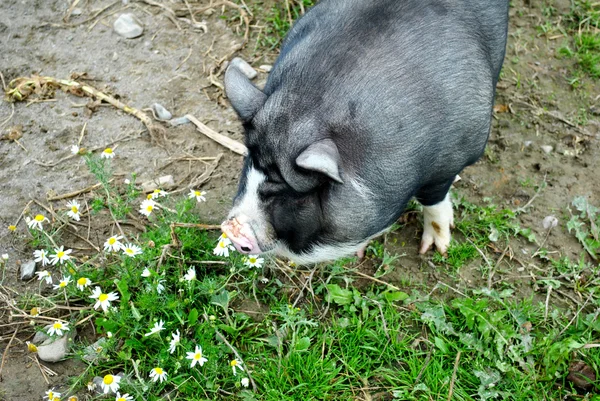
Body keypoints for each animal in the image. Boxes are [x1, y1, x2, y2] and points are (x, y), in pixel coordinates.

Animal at [220, 0, 506, 264]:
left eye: (294, 194)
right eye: (249, 161)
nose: (231, 229)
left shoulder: (456, 155)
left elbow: (434, 199)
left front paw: (437, 249)